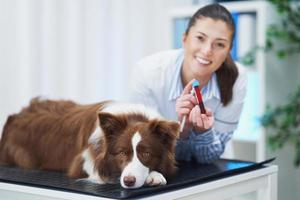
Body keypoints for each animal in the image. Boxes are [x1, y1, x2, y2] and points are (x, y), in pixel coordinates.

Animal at [0, 98, 179, 189]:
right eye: (122, 153)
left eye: (146, 153)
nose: (129, 181)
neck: (132, 116)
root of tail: (14, 116)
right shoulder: (80, 163)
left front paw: (155, 175)